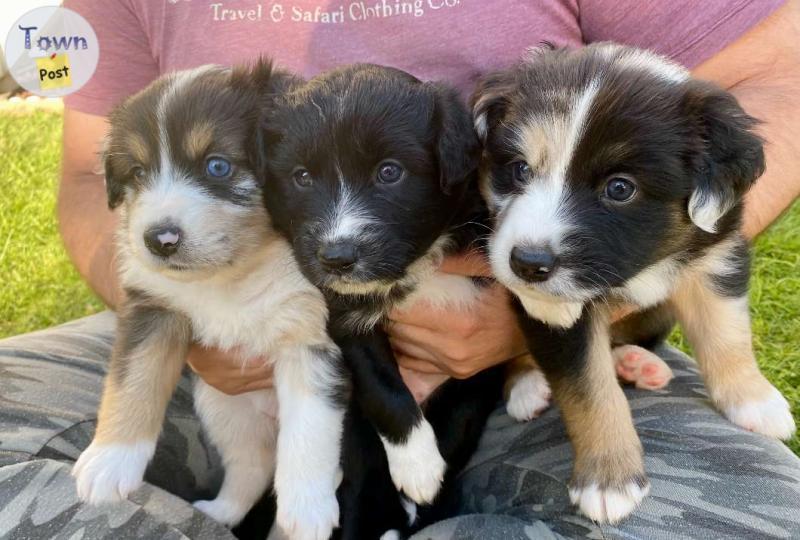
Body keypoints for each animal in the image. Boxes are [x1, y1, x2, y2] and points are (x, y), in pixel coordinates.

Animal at [73, 60, 348, 540]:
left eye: (217, 166)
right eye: (138, 173)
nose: (159, 240)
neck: (231, 274)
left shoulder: (310, 335)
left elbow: (310, 429)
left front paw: (308, 510)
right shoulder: (153, 307)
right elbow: (135, 376)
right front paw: (109, 461)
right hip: (224, 409)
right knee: (252, 465)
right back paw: (219, 512)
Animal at [253, 63, 544, 536]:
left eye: (390, 172)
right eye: (302, 177)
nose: (337, 256)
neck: (417, 263)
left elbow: (462, 417)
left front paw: (429, 480)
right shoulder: (346, 318)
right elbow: (382, 388)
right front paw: (418, 465)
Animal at [472, 44, 796, 524]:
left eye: (620, 188)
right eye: (519, 170)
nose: (528, 263)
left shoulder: (716, 252)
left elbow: (727, 332)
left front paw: (754, 399)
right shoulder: (555, 315)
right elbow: (590, 390)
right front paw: (609, 481)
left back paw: (636, 363)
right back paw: (528, 385)